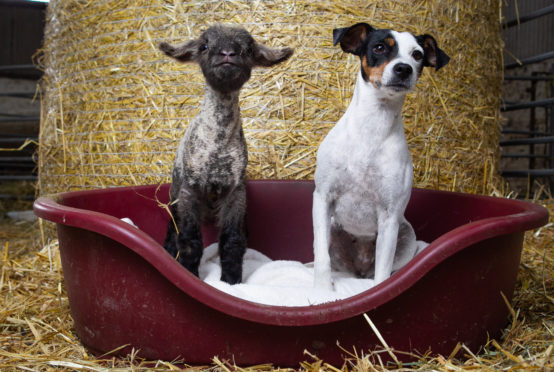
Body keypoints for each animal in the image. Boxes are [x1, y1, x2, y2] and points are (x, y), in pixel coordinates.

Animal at [157, 24, 292, 284]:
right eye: (204, 46)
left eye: (249, 49)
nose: (228, 54)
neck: (217, 148)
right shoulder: (189, 190)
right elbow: (189, 240)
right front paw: (189, 276)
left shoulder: (235, 192)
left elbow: (232, 241)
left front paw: (231, 282)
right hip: (175, 189)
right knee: (172, 226)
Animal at [310, 23, 448, 290]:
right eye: (380, 47)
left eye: (417, 55)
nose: (403, 68)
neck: (372, 127)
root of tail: (359, 268)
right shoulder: (322, 198)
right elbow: (321, 256)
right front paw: (322, 291)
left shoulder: (389, 217)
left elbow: (382, 275)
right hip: (335, 231)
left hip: (406, 236)